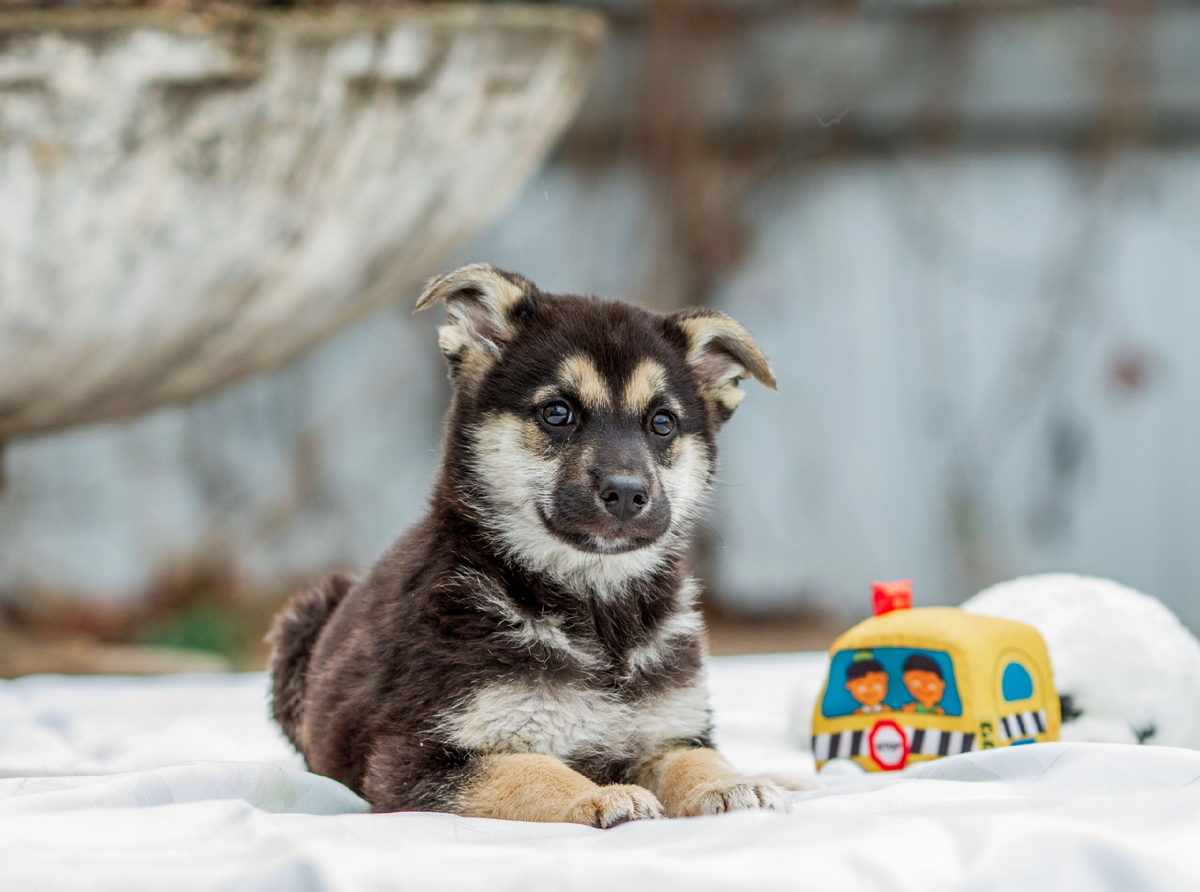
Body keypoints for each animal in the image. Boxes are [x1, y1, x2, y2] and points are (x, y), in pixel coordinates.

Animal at [273, 261, 796, 825]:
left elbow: (696, 760)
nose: (627, 493)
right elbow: (531, 770)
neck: (596, 609)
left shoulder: (668, 732)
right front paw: (599, 796)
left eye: (662, 423)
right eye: (557, 412)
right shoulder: (418, 760)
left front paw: (731, 785)